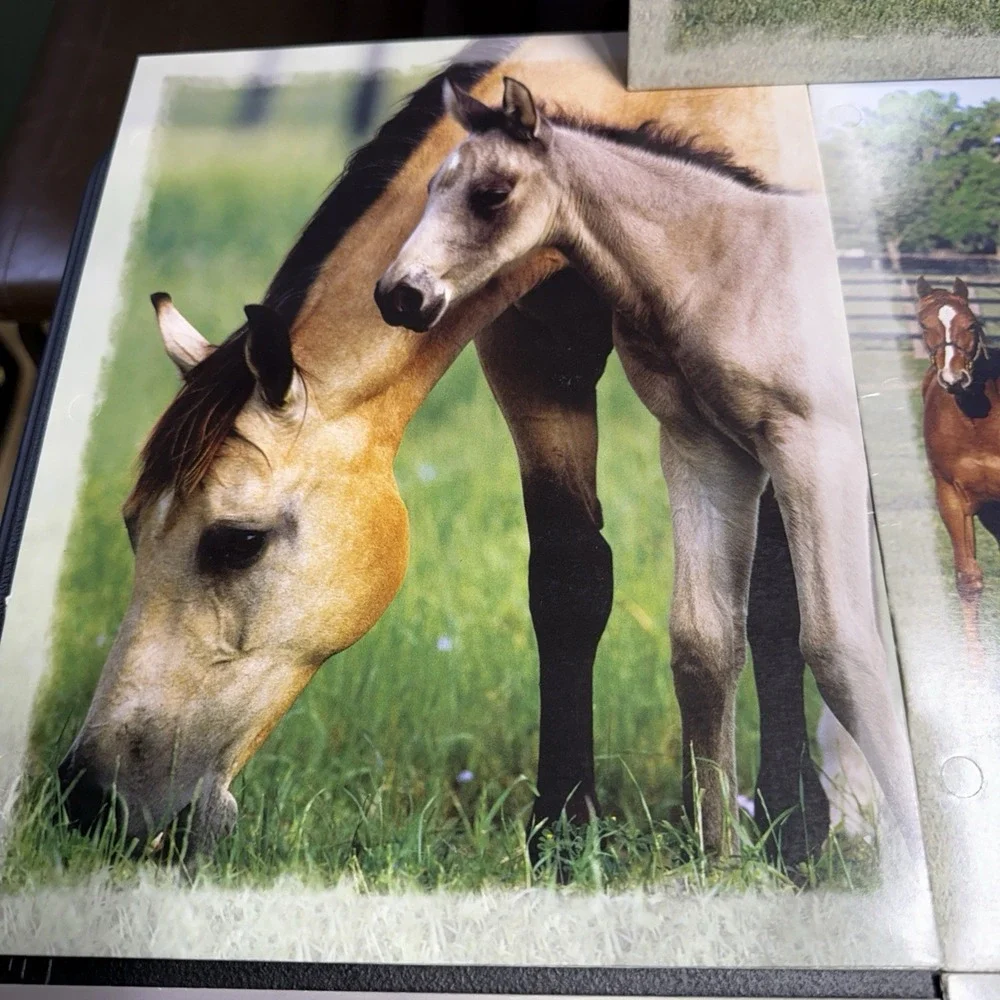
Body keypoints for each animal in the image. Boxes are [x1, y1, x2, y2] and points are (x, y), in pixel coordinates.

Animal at [57, 35, 838, 863]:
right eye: (131, 524)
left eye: (236, 542)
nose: (90, 798)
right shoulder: (534, 360)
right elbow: (569, 583)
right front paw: (562, 833)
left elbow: (777, 604)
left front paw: (796, 826)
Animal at [376, 75, 921, 851]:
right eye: (430, 187)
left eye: (492, 193)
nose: (401, 293)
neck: (732, 267)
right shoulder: (705, 449)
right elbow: (703, 644)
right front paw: (718, 858)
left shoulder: (815, 448)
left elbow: (841, 649)